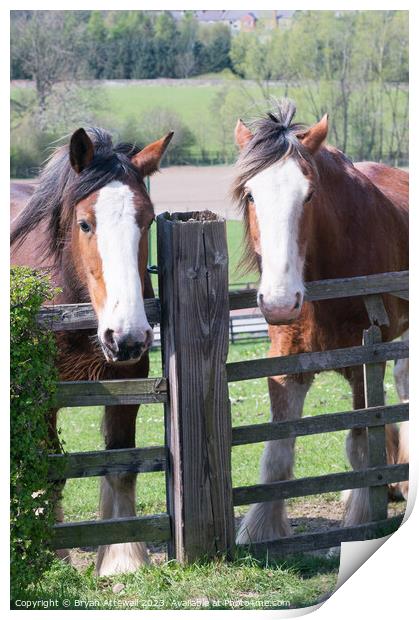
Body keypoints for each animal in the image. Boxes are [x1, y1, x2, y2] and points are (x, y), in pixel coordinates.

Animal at [10, 127, 173, 576]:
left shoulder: (128, 379)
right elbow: (48, 472)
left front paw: (122, 559)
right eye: (85, 223)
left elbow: (121, 464)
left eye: (147, 220)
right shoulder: (41, 395)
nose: (126, 336)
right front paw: (54, 556)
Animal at [235, 100, 408, 544]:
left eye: (309, 194)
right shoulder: (286, 363)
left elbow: (361, 442)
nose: (279, 302)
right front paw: (262, 528)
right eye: (250, 194)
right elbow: (278, 450)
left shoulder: (366, 359)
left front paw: (361, 517)